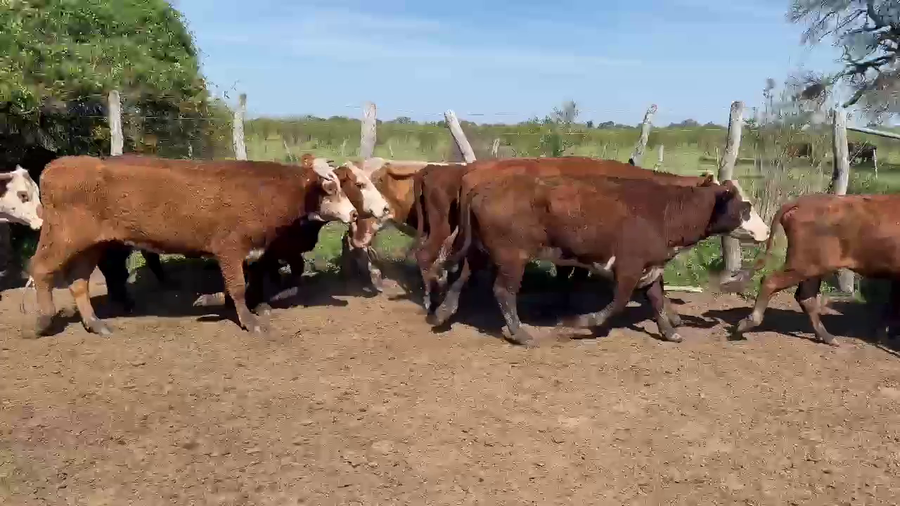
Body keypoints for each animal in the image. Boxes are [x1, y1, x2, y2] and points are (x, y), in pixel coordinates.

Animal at [25, 154, 359, 338]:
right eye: (330, 187)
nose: (355, 213)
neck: (262, 190)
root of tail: (55, 167)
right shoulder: (229, 249)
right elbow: (238, 287)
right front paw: (249, 321)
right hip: (63, 237)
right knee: (40, 269)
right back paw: (43, 320)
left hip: (92, 245)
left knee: (79, 282)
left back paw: (96, 324)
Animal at [427, 173, 759, 346]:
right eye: (745, 206)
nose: (764, 230)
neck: (664, 211)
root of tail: (482, 187)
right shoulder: (628, 268)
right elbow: (617, 304)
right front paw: (578, 322)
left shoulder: (650, 268)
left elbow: (656, 300)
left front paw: (670, 332)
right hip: (512, 258)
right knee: (503, 292)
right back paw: (521, 334)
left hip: (479, 251)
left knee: (461, 277)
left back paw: (441, 313)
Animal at [728, 193, 900, 346]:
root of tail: (802, 201)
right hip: (804, 265)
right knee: (771, 281)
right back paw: (748, 322)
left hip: (814, 269)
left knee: (806, 297)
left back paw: (828, 337)